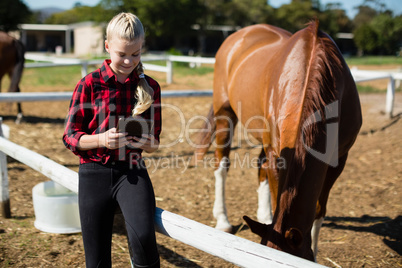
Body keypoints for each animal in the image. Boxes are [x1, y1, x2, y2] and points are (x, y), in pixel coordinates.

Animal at [193, 21, 362, 262]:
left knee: (260, 166)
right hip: (225, 114)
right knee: (222, 165)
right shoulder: (277, 152)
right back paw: (223, 220)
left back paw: (263, 214)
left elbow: (319, 210)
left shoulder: (339, 159)